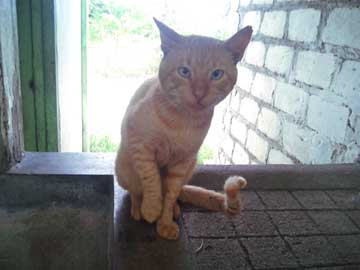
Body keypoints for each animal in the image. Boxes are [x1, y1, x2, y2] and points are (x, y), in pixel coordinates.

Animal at [114, 17, 252, 239]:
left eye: (216, 74)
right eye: (184, 72)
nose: (199, 93)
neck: (181, 122)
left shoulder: (182, 163)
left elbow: (170, 195)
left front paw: (165, 223)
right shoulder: (140, 145)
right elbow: (151, 179)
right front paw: (151, 208)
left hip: (191, 166)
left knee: (177, 194)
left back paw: (174, 210)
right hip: (123, 168)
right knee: (134, 191)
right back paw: (138, 208)